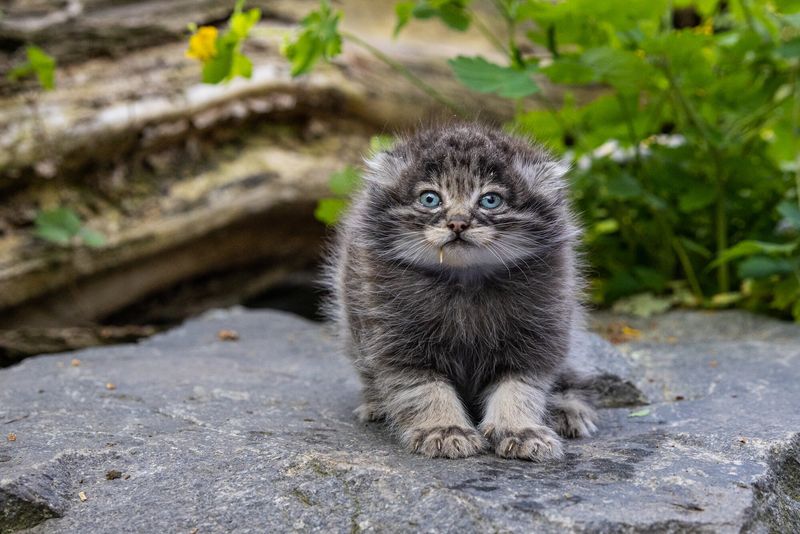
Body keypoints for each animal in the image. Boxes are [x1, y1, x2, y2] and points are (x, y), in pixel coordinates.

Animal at [322, 124, 596, 460]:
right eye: (430, 199)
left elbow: (520, 388)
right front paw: (443, 429)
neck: (465, 282)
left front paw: (521, 429)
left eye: (490, 200)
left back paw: (566, 409)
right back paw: (376, 404)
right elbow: (425, 390)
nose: (457, 223)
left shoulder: (538, 332)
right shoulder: (396, 340)